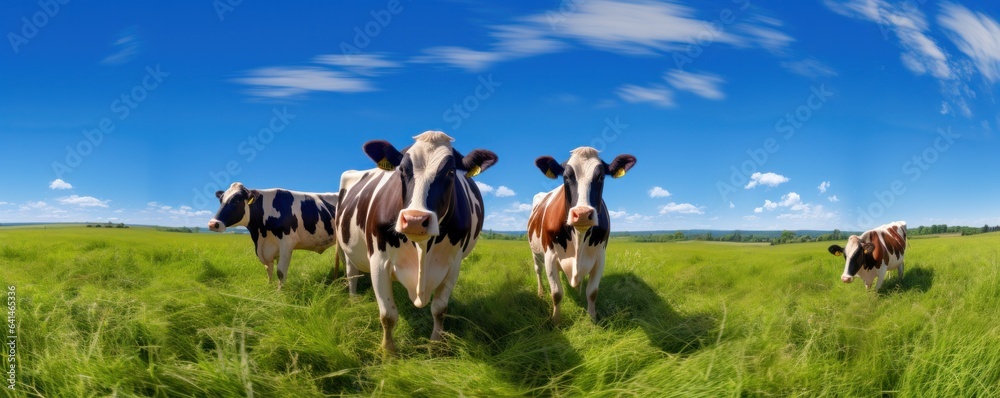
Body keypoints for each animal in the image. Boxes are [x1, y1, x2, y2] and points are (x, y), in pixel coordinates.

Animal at [207, 182, 340, 288]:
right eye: (221, 200)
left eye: (236, 200)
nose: (213, 224)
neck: (260, 235)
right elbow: (268, 269)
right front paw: (269, 287)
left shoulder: (287, 243)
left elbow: (280, 272)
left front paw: (279, 293)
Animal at [336, 131, 496, 352]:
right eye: (402, 169)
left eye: (451, 172)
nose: (415, 220)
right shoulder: (378, 261)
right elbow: (388, 315)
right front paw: (388, 352)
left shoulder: (453, 265)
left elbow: (439, 309)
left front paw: (435, 345)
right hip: (347, 247)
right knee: (352, 274)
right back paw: (353, 302)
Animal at [528, 146, 636, 324]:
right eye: (565, 177)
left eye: (601, 177)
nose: (583, 214)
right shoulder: (550, 256)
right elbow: (557, 293)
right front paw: (556, 321)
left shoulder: (600, 257)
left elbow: (592, 292)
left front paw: (592, 318)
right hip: (535, 251)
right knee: (538, 270)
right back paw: (540, 292)